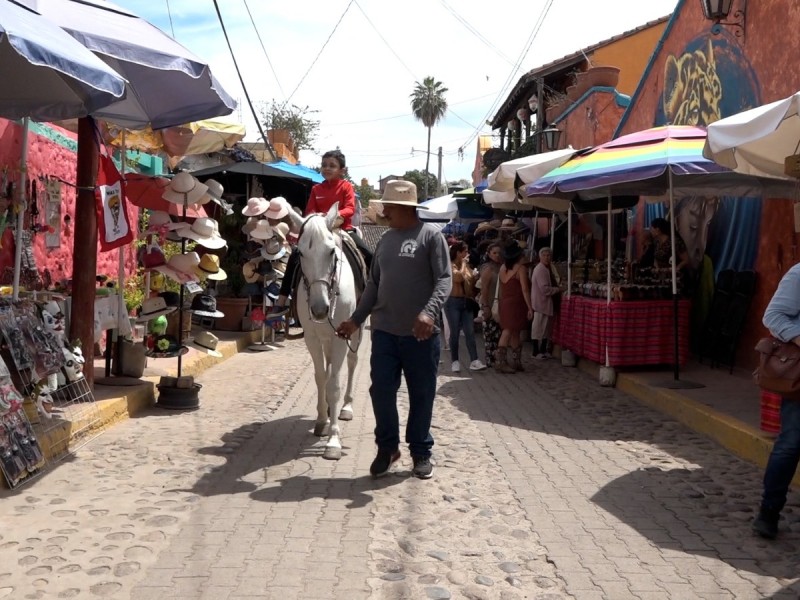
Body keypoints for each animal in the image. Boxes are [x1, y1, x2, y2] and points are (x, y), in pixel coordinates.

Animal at [290, 202, 360, 460]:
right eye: (300, 253)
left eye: (331, 252)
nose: (320, 309)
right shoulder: (312, 339)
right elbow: (321, 378)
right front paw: (322, 421)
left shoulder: (341, 336)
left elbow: (335, 385)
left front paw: (333, 441)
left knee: (352, 363)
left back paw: (346, 407)